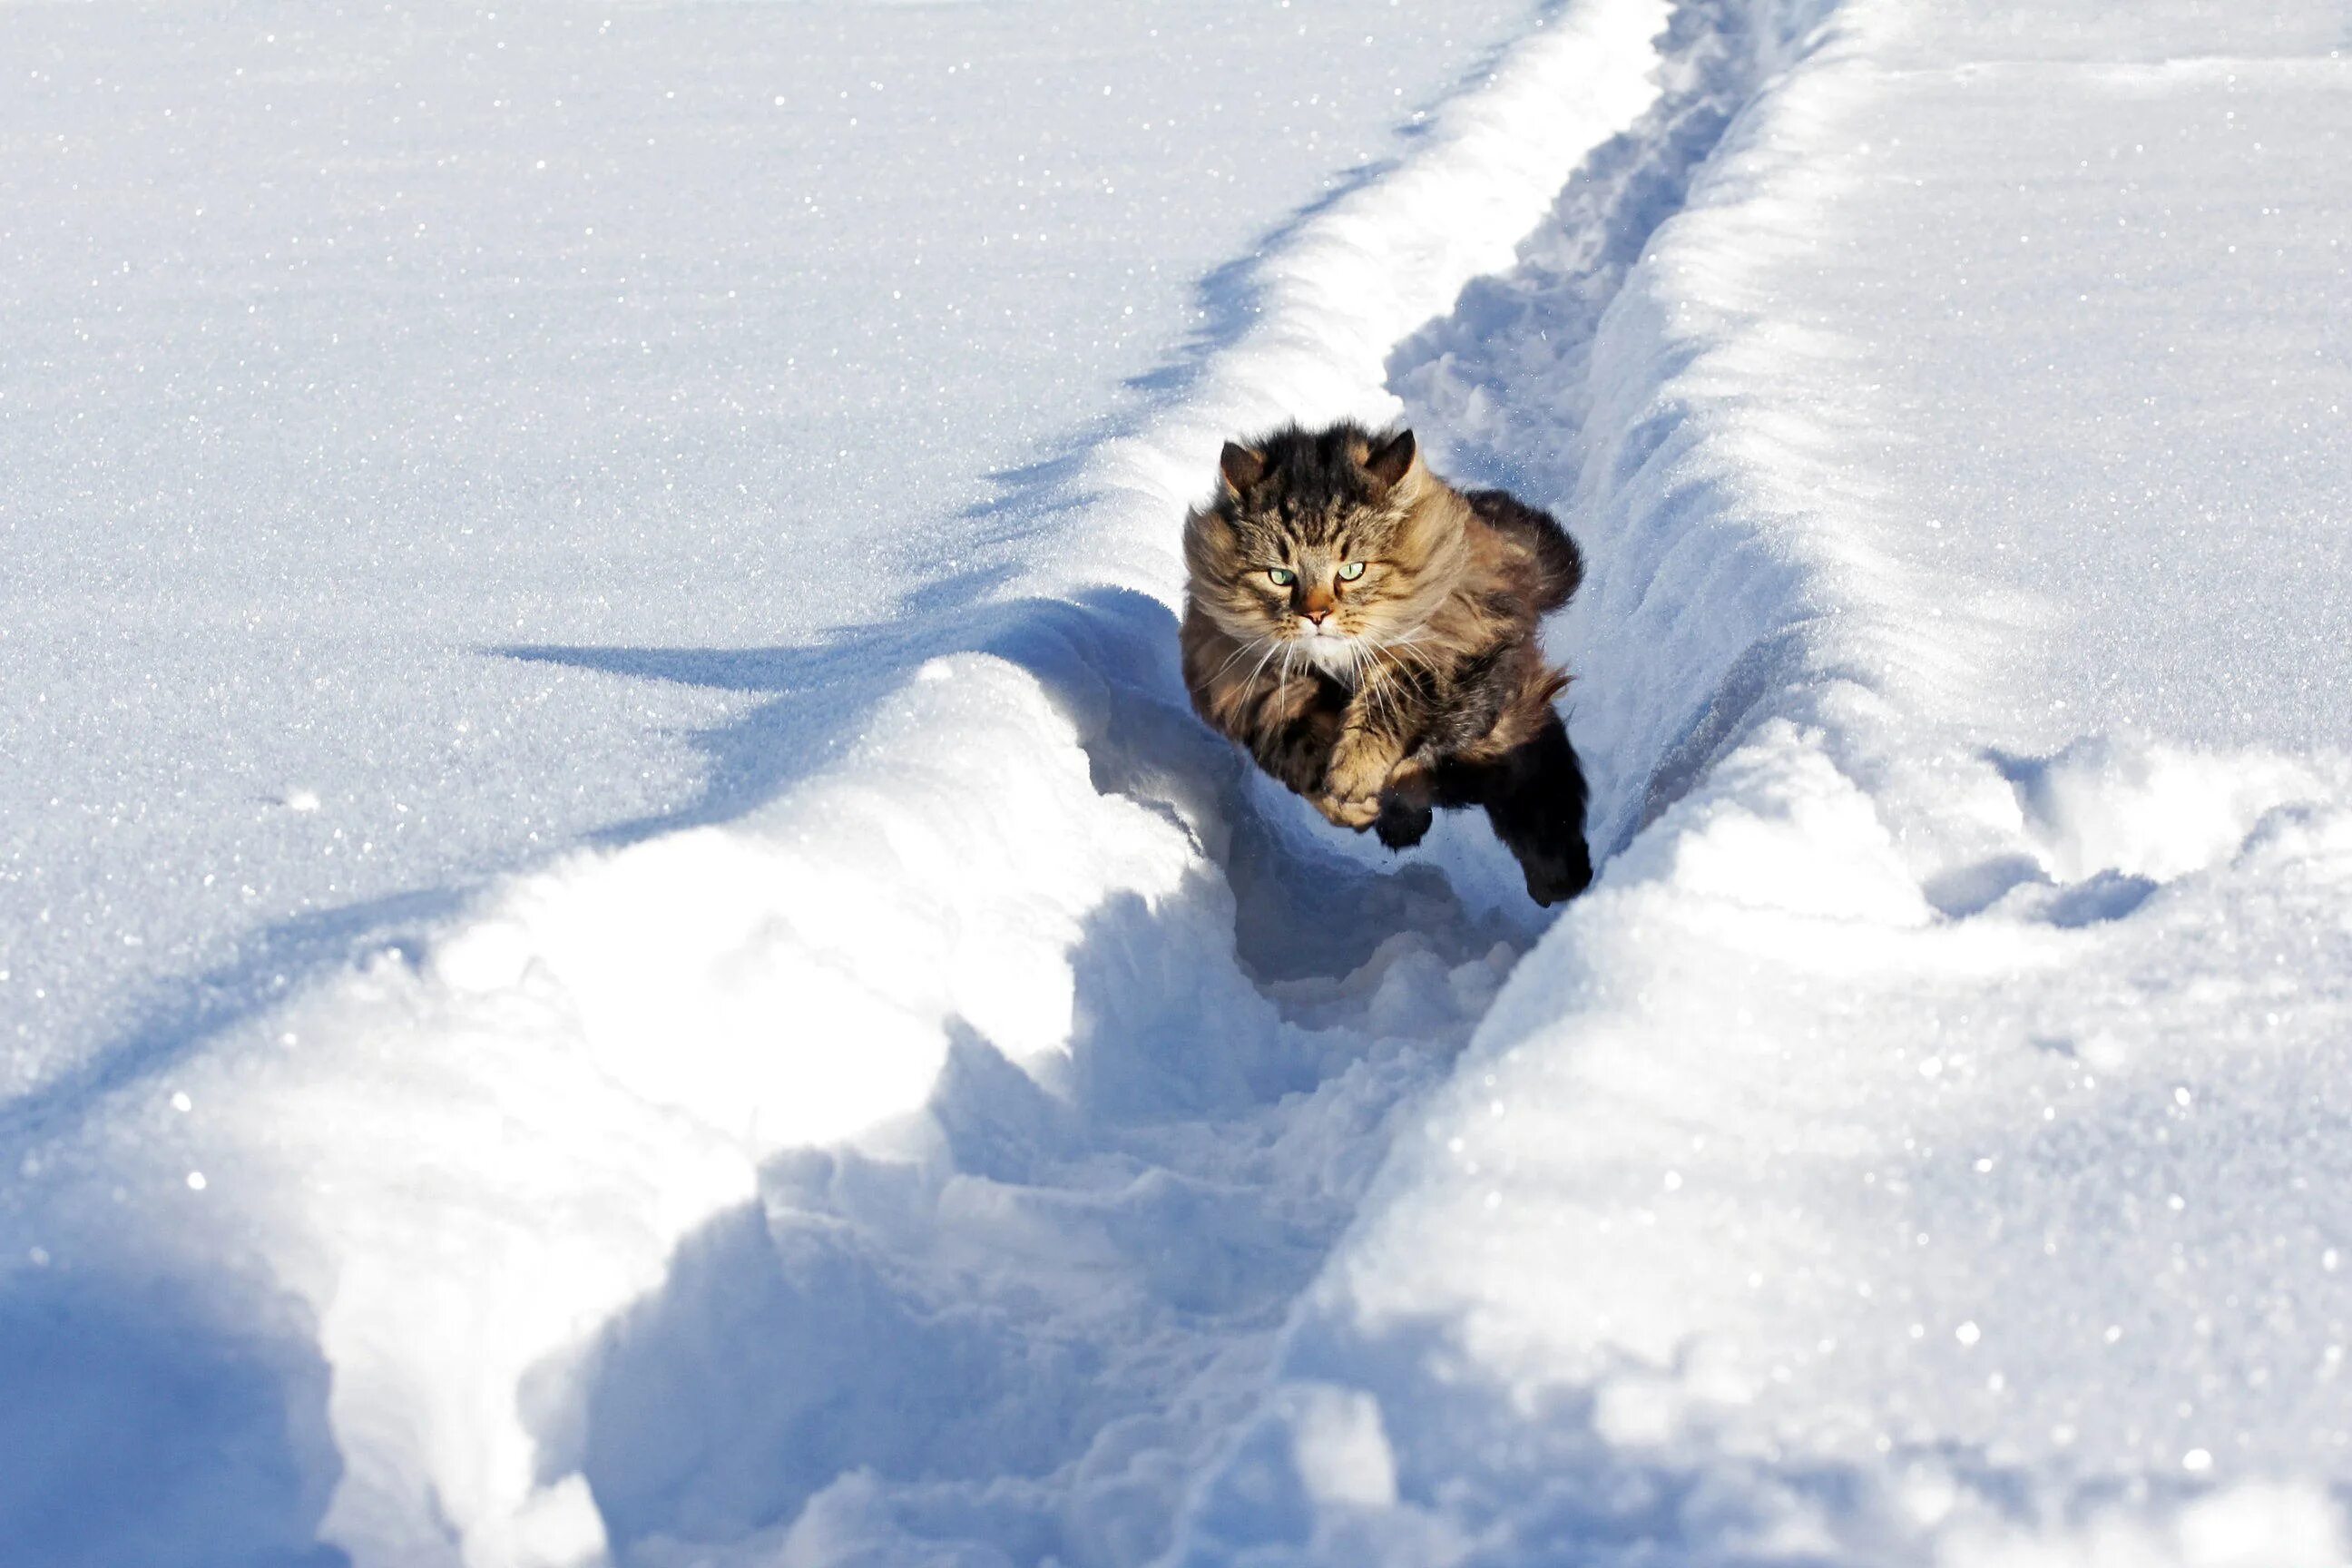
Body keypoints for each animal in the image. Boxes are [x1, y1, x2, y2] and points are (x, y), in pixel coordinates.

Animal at [1176, 420, 1599, 907]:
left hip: (1519, 741)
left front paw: (1355, 773)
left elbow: (1393, 696)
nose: (1315, 616)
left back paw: (1560, 883)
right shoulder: (1250, 689)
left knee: (1548, 812)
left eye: (1352, 570)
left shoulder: (1461, 660)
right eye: (1280, 576)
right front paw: (1349, 802)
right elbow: (1299, 746)